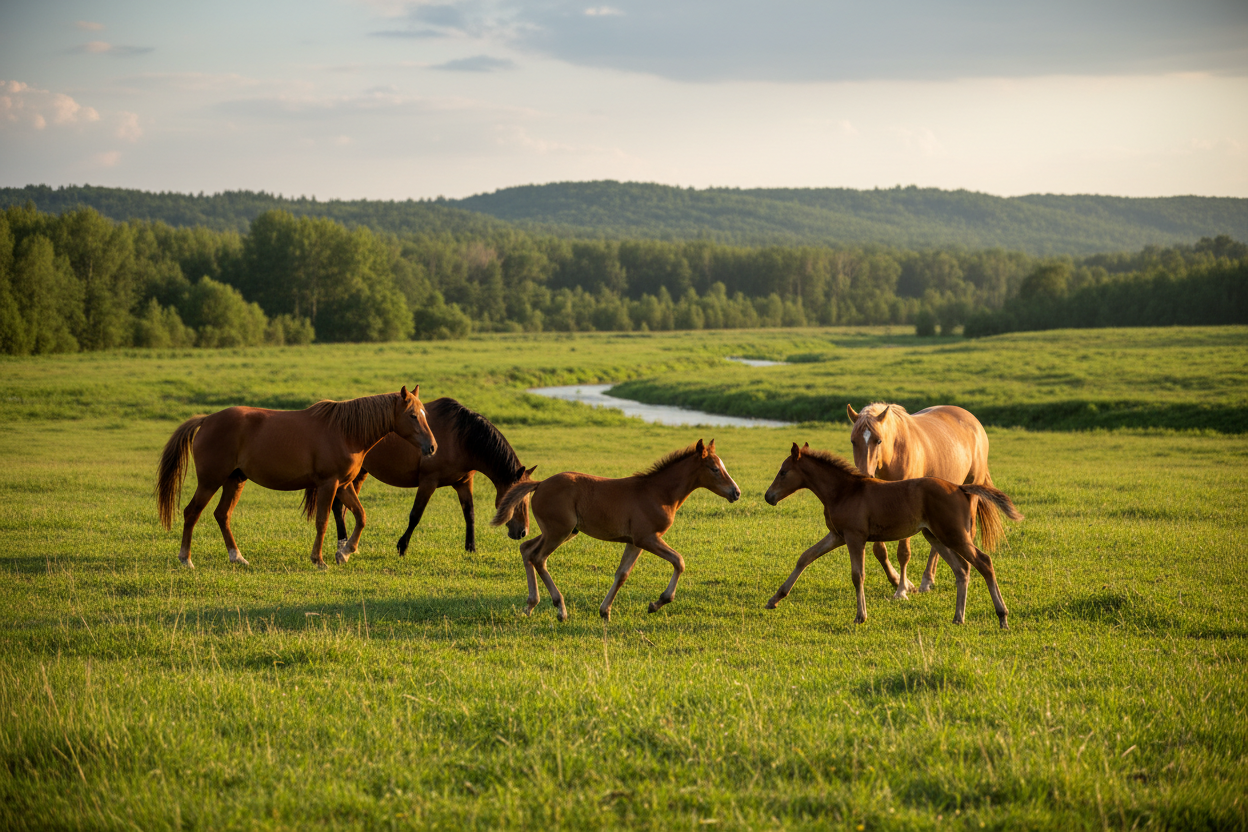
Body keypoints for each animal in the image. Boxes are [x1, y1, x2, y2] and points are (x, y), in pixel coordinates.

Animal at [156, 386, 436, 569]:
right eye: (413, 415)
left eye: (425, 413)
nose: (432, 447)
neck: (346, 432)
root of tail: (207, 420)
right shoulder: (328, 484)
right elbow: (323, 521)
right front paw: (319, 559)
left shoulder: (344, 485)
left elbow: (361, 516)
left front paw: (345, 552)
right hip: (210, 481)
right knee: (192, 512)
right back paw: (186, 559)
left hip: (234, 480)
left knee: (222, 515)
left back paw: (237, 557)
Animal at [329, 397, 533, 556]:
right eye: (518, 500)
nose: (523, 532)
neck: (461, 438)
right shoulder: (428, 482)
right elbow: (415, 515)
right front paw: (402, 546)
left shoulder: (464, 483)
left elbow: (470, 514)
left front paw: (471, 548)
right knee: (338, 507)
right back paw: (343, 545)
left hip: (359, 474)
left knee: (344, 507)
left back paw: (348, 545)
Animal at [491, 439, 741, 622]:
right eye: (715, 469)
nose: (736, 492)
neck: (658, 493)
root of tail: (540, 484)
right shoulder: (647, 538)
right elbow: (679, 561)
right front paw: (658, 602)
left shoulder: (633, 542)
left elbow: (622, 574)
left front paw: (605, 611)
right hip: (558, 531)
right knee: (538, 557)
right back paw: (560, 609)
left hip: (562, 531)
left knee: (526, 549)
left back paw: (530, 605)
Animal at [763, 442, 1021, 628]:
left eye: (783, 472)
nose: (768, 496)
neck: (844, 491)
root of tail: (960, 488)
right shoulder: (837, 535)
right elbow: (805, 557)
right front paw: (775, 599)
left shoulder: (855, 537)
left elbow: (858, 575)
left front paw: (861, 616)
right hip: (935, 536)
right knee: (962, 570)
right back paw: (959, 618)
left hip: (954, 534)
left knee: (984, 562)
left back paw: (1002, 617)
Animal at [846, 402, 999, 598]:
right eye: (853, 441)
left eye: (878, 440)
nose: (865, 475)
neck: (895, 452)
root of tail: (973, 421)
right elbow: (879, 551)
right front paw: (897, 580)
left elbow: (903, 552)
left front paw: (902, 590)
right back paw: (928, 580)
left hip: (969, 495)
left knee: (968, 533)